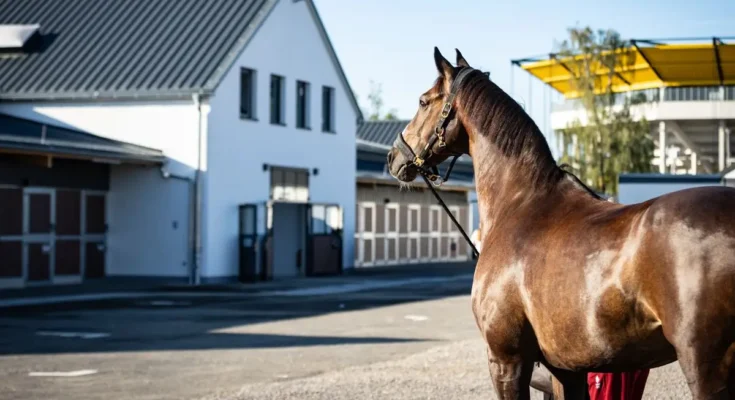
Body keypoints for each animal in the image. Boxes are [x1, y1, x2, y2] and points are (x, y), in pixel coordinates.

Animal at [386, 47, 735, 399]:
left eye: (423, 101)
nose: (393, 157)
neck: (521, 204)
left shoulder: (506, 360)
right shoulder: (566, 370)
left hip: (705, 367)